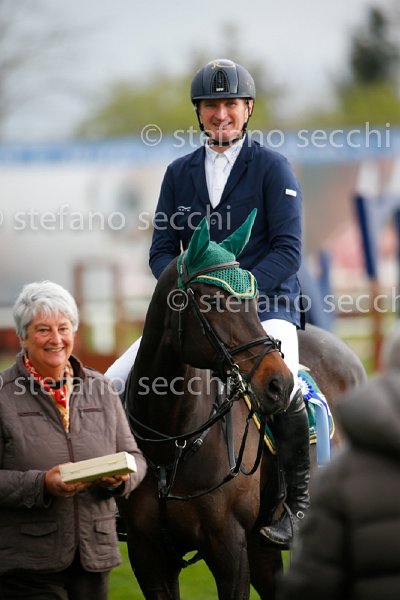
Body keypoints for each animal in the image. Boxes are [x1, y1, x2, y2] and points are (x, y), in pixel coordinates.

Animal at [118, 213, 367, 600]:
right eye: (213, 301)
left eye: (252, 300)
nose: (279, 385)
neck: (173, 442)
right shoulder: (148, 558)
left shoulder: (229, 551)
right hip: (260, 547)